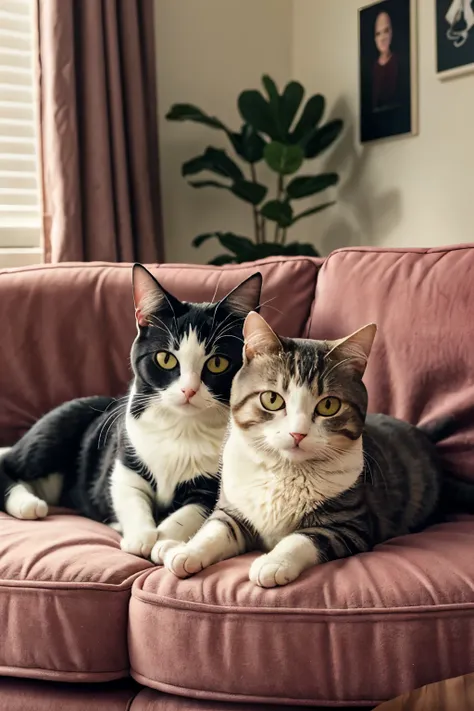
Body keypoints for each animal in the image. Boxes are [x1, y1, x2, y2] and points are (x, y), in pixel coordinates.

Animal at [0, 262, 262, 560]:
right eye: (165, 358)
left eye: (218, 363)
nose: (188, 391)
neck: (183, 427)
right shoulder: (126, 451)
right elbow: (129, 492)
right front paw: (141, 537)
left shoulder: (211, 485)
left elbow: (190, 513)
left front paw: (164, 541)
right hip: (58, 428)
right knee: (9, 464)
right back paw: (27, 503)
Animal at [164, 312, 456, 584]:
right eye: (272, 399)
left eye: (329, 405)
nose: (298, 433)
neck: (285, 472)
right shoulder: (234, 509)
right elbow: (214, 529)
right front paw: (187, 552)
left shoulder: (349, 525)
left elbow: (302, 539)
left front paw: (273, 562)